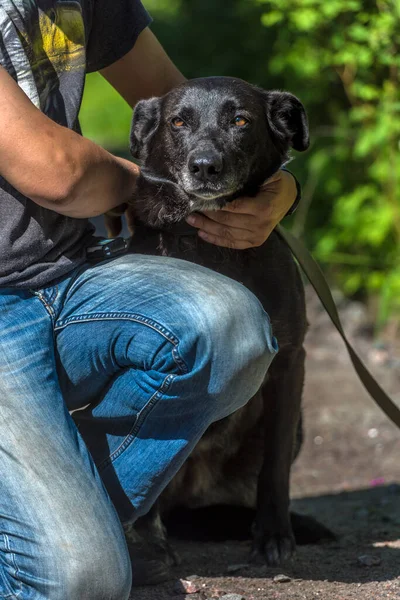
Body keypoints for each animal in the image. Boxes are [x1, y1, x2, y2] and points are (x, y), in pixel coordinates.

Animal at [107, 77, 334, 584]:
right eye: (178, 122)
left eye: (240, 121)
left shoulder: (289, 361)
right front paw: (149, 542)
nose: (205, 166)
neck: (211, 247)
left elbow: (275, 468)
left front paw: (274, 535)